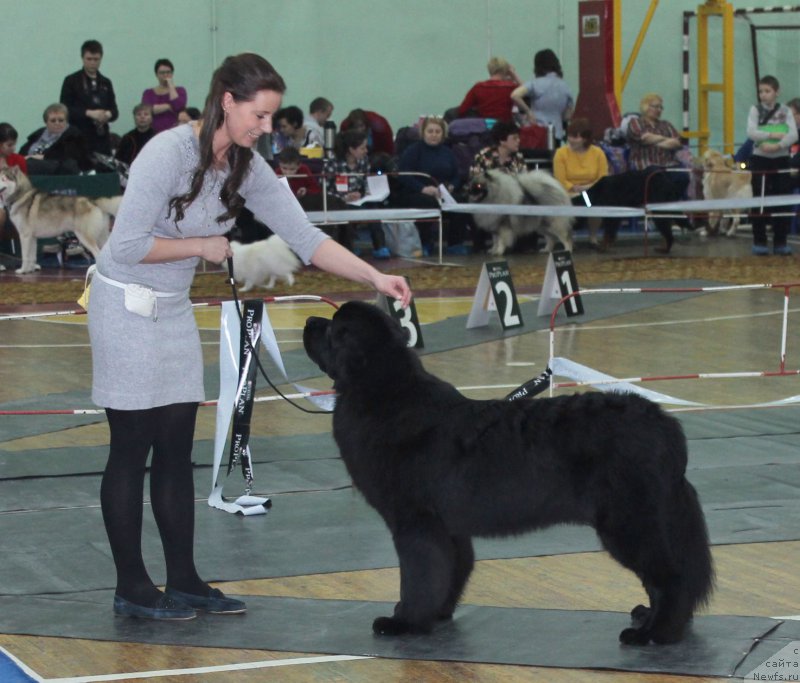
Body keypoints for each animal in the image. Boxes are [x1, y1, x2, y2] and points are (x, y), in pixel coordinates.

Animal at [304, 302, 716, 644]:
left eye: (334, 329)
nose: (308, 321)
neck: (383, 393)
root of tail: (664, 425)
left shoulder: (416, 523)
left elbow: (418, 578)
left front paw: (404, 621)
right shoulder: (450, 529)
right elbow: (450, 572)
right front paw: (437, 615)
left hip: (630, 522)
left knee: (671, 579)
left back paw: (656, 633)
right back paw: (649, 619)